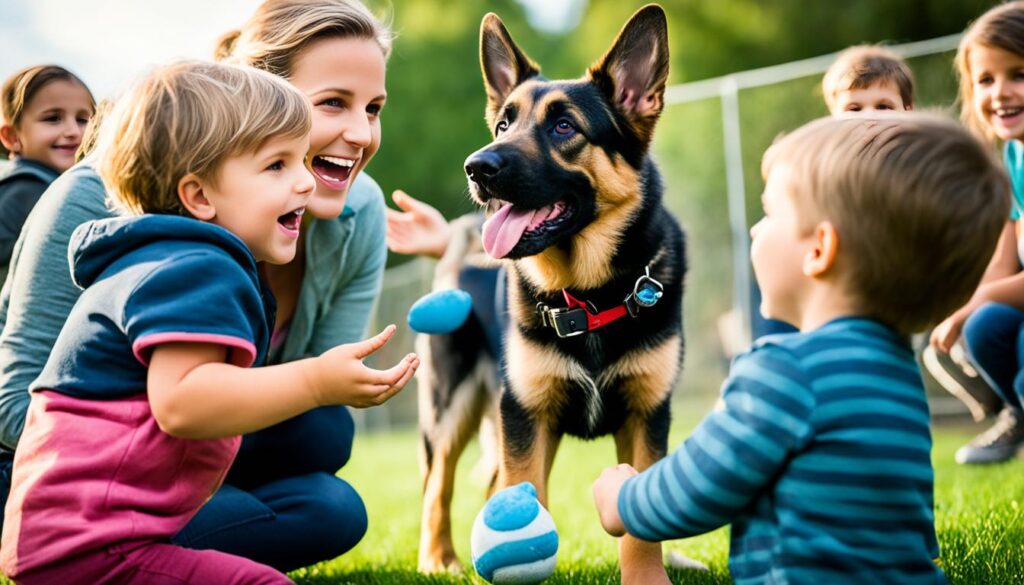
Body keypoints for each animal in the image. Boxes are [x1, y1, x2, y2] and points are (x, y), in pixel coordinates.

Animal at [415, 4, 688, 581]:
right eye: (504, 123)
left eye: (565, 126)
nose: (477, 168)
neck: (588, 294)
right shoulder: (525, 414)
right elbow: (523, 493)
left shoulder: (646, 415)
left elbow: (639, 523)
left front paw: (647, 576)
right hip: (451, 408)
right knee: (437, 485)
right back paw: (438, 559)